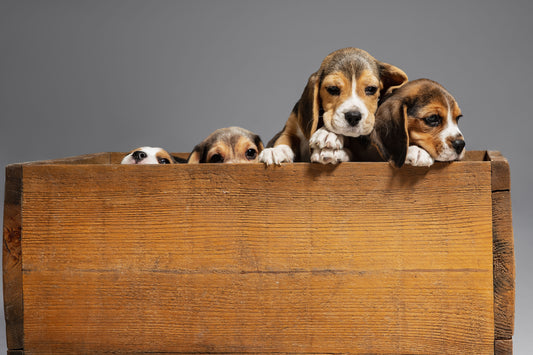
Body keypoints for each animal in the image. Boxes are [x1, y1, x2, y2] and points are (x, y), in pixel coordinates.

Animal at [258, 47, 408, 165]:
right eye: (333, 89)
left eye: (371, 89)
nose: (353, 116)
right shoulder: (290, 127)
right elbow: (284, 138)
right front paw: (276, 151)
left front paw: (327, 134)